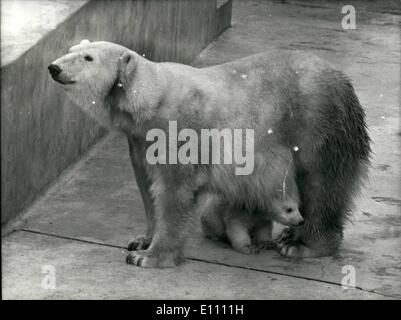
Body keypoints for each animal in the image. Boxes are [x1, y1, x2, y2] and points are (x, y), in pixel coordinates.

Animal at [49, 41, 368, 268]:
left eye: (88, 58)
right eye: (71, 50)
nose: (53, 67)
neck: (153, 99)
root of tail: (344, 82)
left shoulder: (181, 129)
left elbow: (174, 191)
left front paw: (150, 257)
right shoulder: (140, 140)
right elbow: (147, 186)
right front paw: (141, 241)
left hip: (315, 123)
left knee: (321, 183)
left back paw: (303, 245)